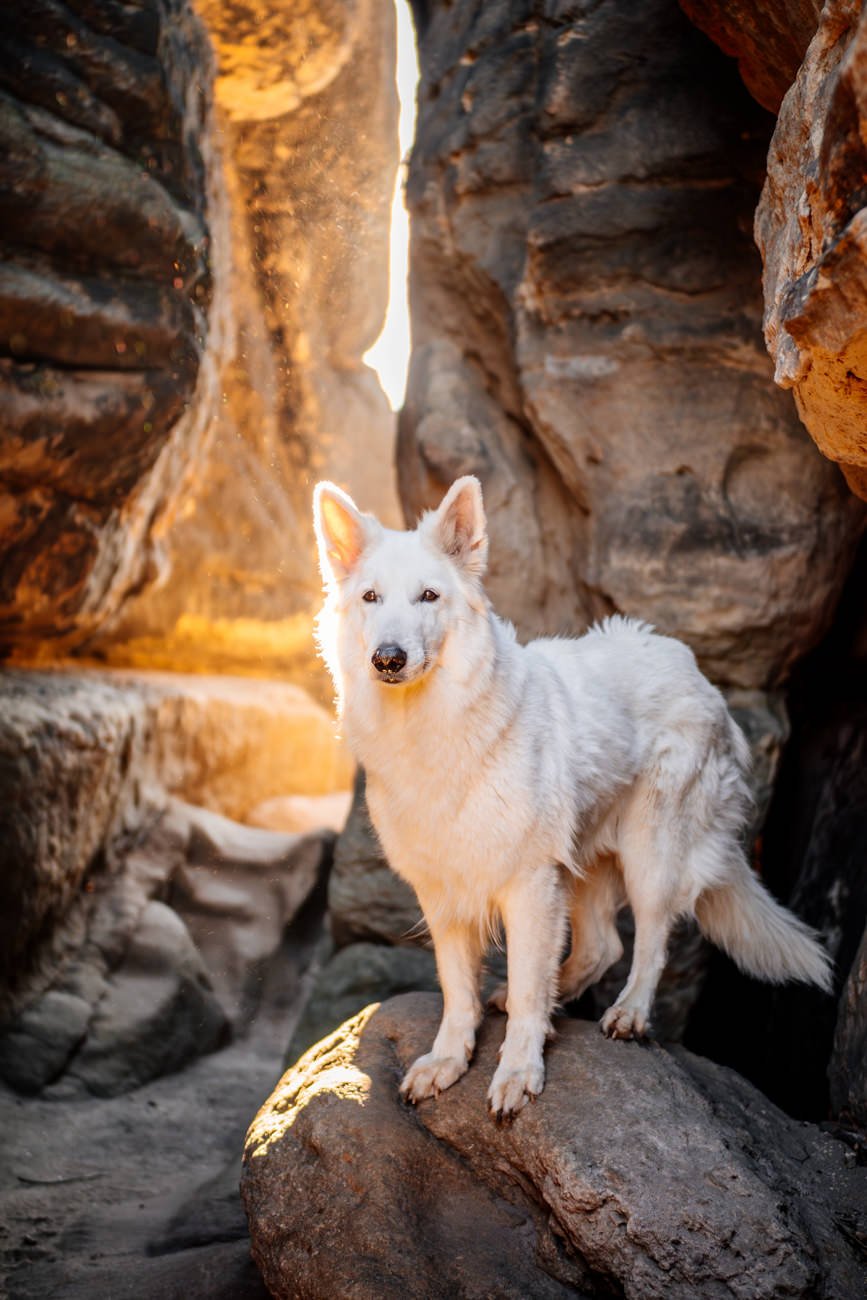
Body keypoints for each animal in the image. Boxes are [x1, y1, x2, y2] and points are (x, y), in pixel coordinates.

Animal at [311, 475, 831, 1118]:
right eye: (371, 598)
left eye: (429, 596)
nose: (388, 659)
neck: (434, 728)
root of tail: (692, 666)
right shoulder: (445, 894)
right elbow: (459, 991)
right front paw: (448, 1061)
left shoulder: (529, 884)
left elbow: (532, 990)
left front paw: (517, 1071)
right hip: (581, 865)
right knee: (602, 946)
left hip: (651, 856)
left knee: (650, 941)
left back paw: (628, 1014)